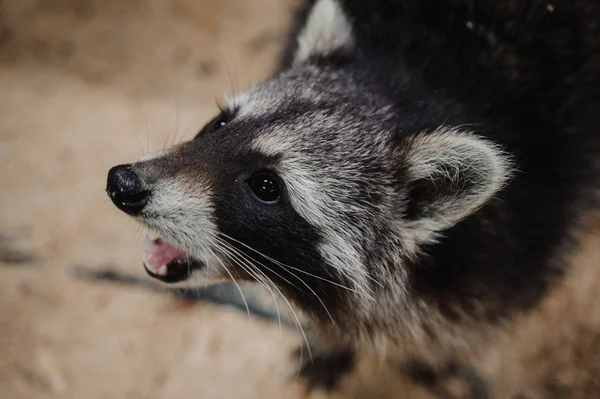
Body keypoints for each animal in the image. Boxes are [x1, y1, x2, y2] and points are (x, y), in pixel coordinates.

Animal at [106, 0, 600, 396]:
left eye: (266, 187)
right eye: (220, 124)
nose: (122, 184)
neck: (418, 88)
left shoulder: (537, 226)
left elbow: (478, 315)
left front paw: (435, 355)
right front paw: (330, 342)